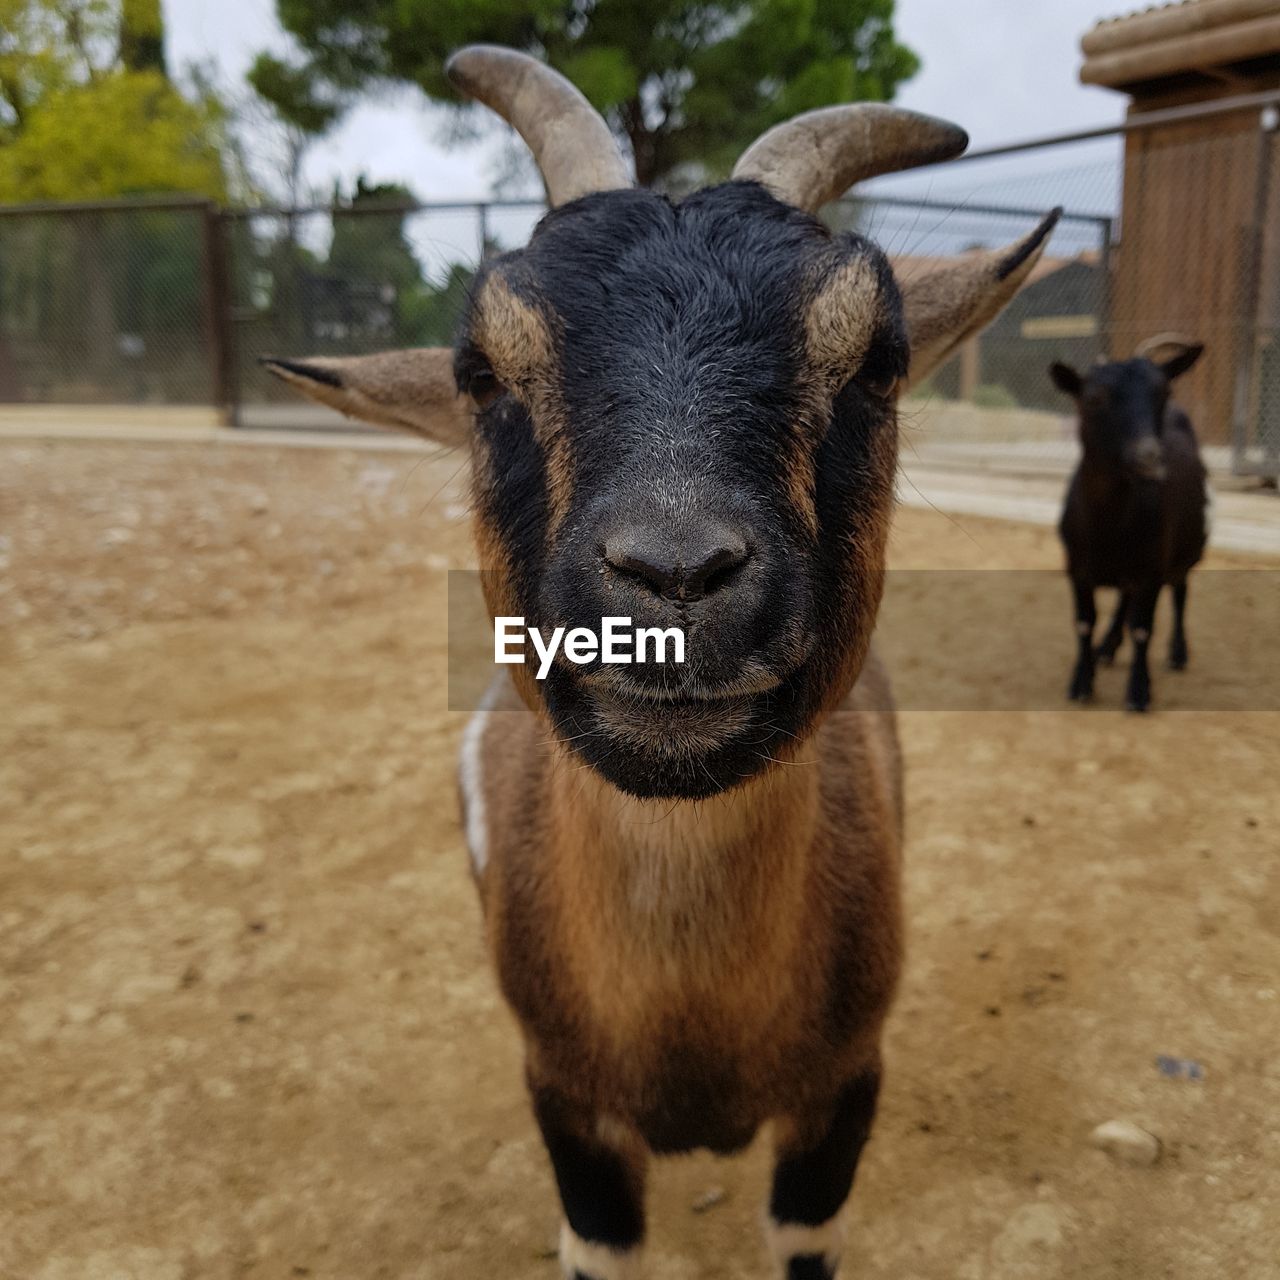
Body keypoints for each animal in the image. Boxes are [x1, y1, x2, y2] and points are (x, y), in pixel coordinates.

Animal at [270, 45, 1059, 1280]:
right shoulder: (568, 1109)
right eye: (480, 370)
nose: (676, 578)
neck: (691, 1029)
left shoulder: (843, 1094)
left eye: (879, 362)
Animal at [1049, 340, 1208, 716]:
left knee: (1180, 591)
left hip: (1184, 550)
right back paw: (1106, 648)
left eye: (1164, 391)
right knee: (1125, 597)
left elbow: (1142, 630)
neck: (1107, 531)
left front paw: (1138, 692)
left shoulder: (1152, 568)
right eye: (1093, 398)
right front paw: (1082, 682)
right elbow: (1084, 622)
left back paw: (1177, 653)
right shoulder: (1076, 568)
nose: (1149, 457)